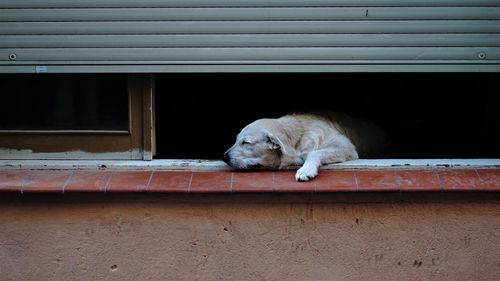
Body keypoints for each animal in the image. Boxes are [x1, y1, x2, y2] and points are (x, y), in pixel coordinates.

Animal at [222, 110, 390, 180]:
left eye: (245, 142)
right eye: (236, 140)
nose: (223, 157)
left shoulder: (346, 147)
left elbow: (313, 152)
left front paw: (306, 169)